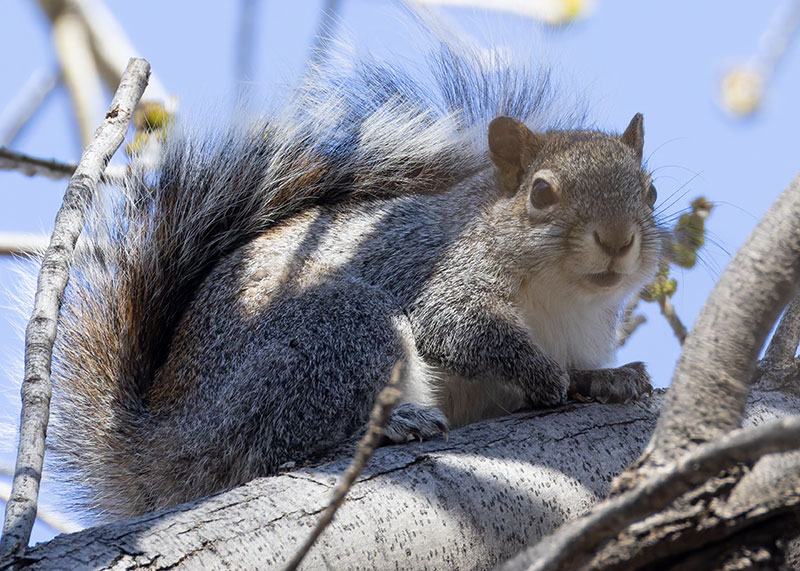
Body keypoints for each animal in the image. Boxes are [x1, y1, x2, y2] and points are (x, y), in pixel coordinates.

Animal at [44, 36, 664, 521]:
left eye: (650, 192)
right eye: (541, 193)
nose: (616, 240)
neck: (563, 299)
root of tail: (163, 442)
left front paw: (610, 380)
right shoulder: (444, 274)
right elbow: (456, 329)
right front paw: (540, 371)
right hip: (340, 329)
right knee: (278, 440)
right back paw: (393, 424)